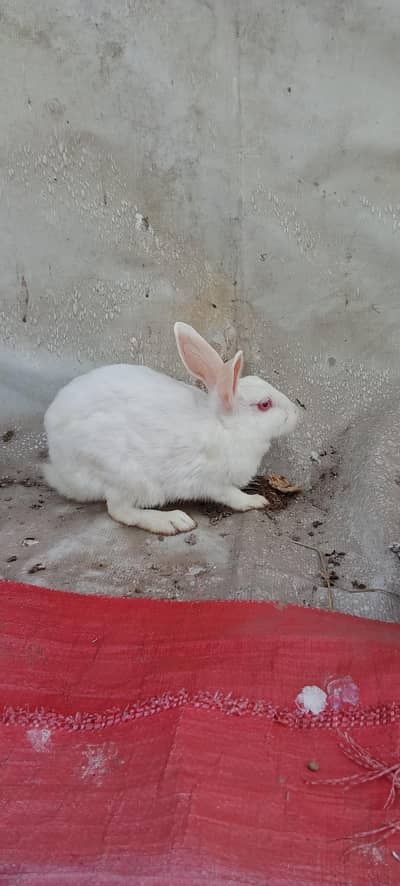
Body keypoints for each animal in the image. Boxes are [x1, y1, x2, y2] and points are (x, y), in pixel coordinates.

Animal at [43, 322, 299, 535]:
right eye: (265, 404)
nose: (297, 414)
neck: (226, 426)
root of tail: (60, 469)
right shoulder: (213, 482)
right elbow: (232, 496)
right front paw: (256, 501)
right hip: (126, 476)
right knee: (120, 510)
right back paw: (172, 521)